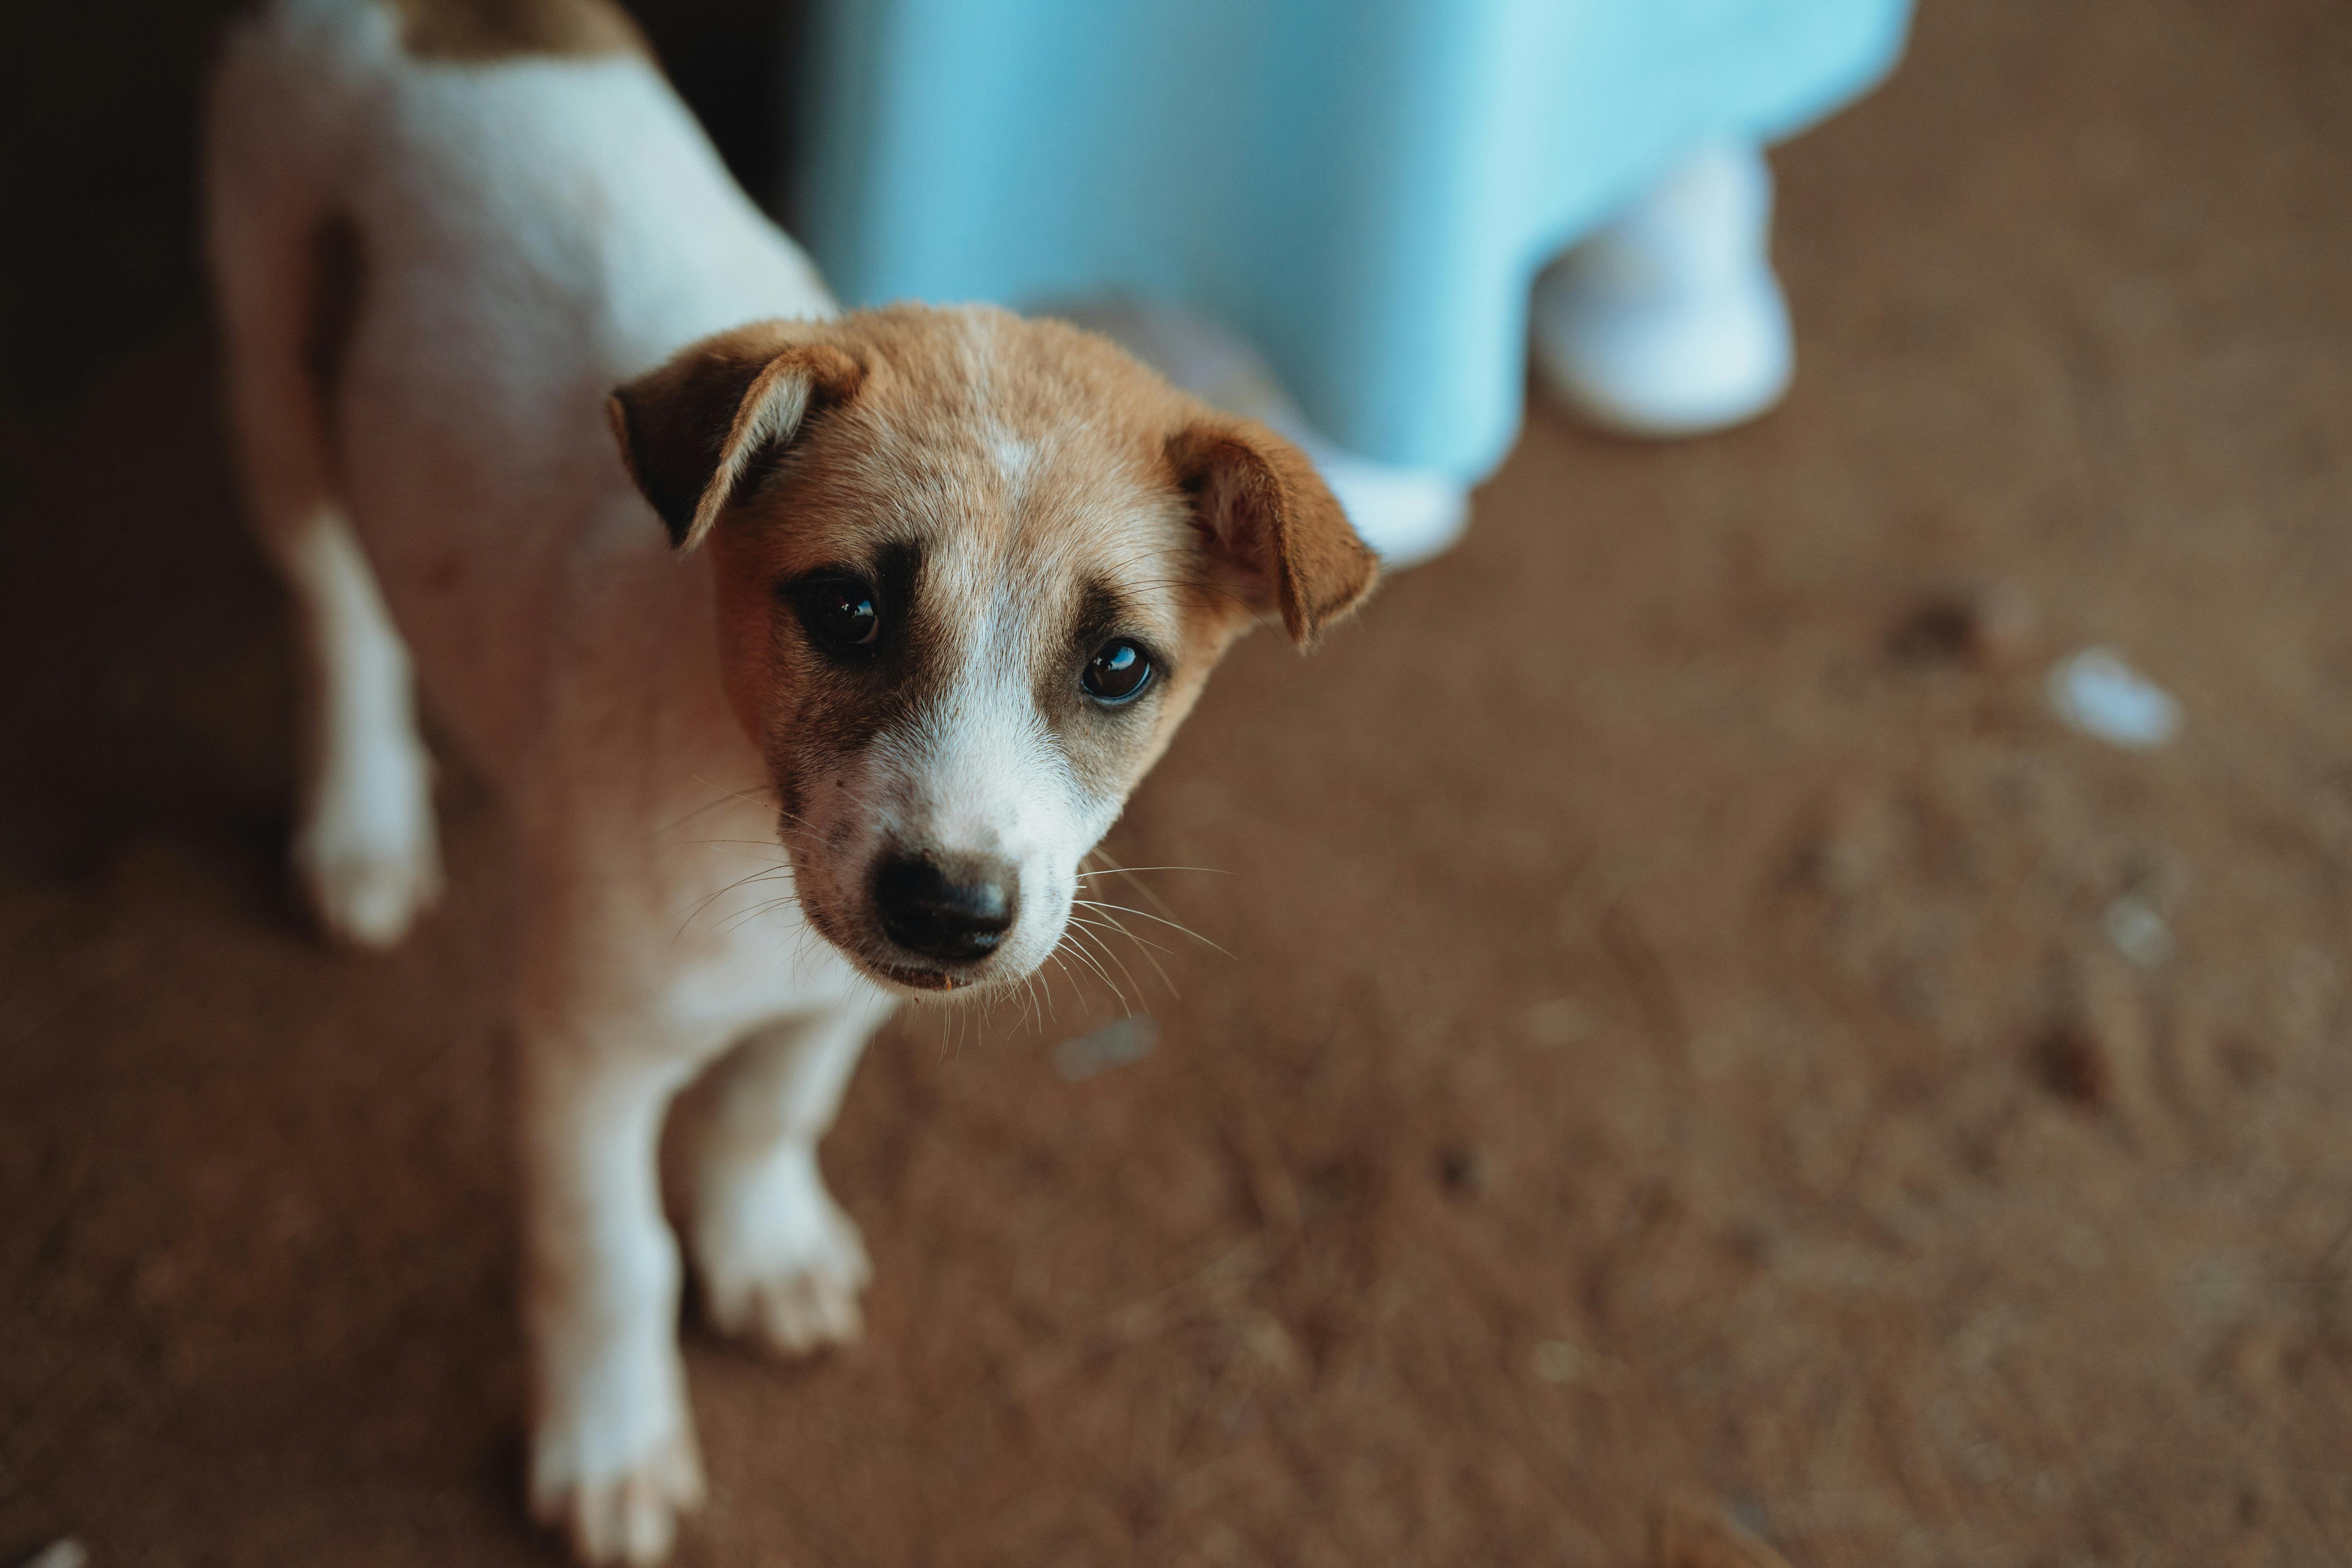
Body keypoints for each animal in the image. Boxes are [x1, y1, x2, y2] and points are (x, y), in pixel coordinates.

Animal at [204, 1, 1376, 1561]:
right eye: (850, 611)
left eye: (1119, 665)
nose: (950, 911)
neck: (742, 818)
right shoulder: (584, 1053)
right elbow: (611, 1254)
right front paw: (613, 1442)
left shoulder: (840, 997)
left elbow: (770, 1110)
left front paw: (759, 1248)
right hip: (272, 360)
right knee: (333, 603)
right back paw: (362, 823)